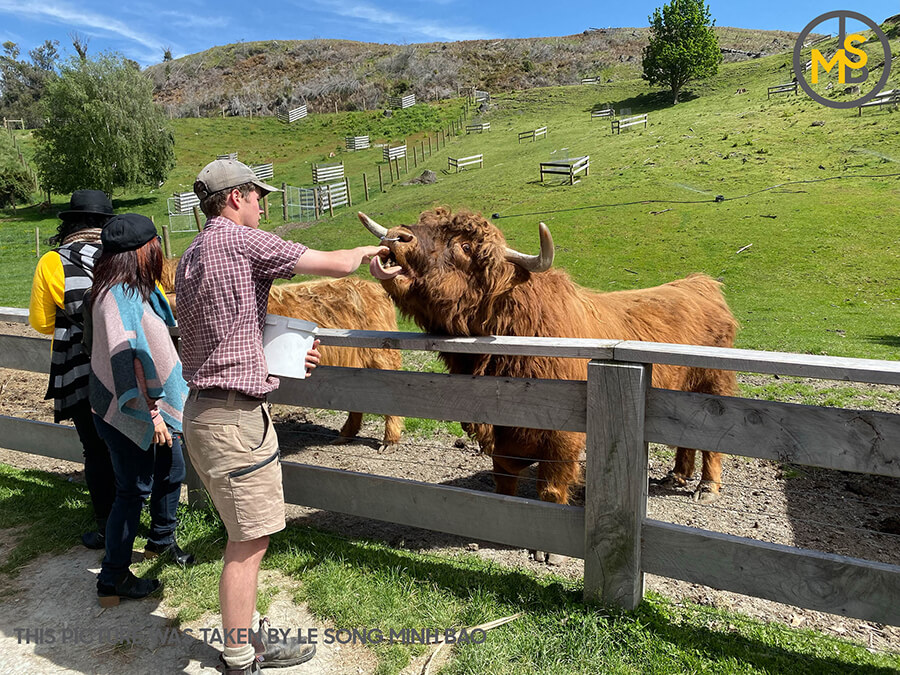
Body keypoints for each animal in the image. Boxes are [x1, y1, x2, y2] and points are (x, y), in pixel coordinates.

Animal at [358, 209, 740, 504]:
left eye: (465, 246)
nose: (397, 236)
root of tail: (699, 283)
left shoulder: (564, 435)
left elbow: (552, 487)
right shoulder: (502, 433)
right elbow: (504, 479)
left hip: (715, 386)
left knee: (712, 441)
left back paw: (707, 486)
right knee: (687, 437)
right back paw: (677, 475)